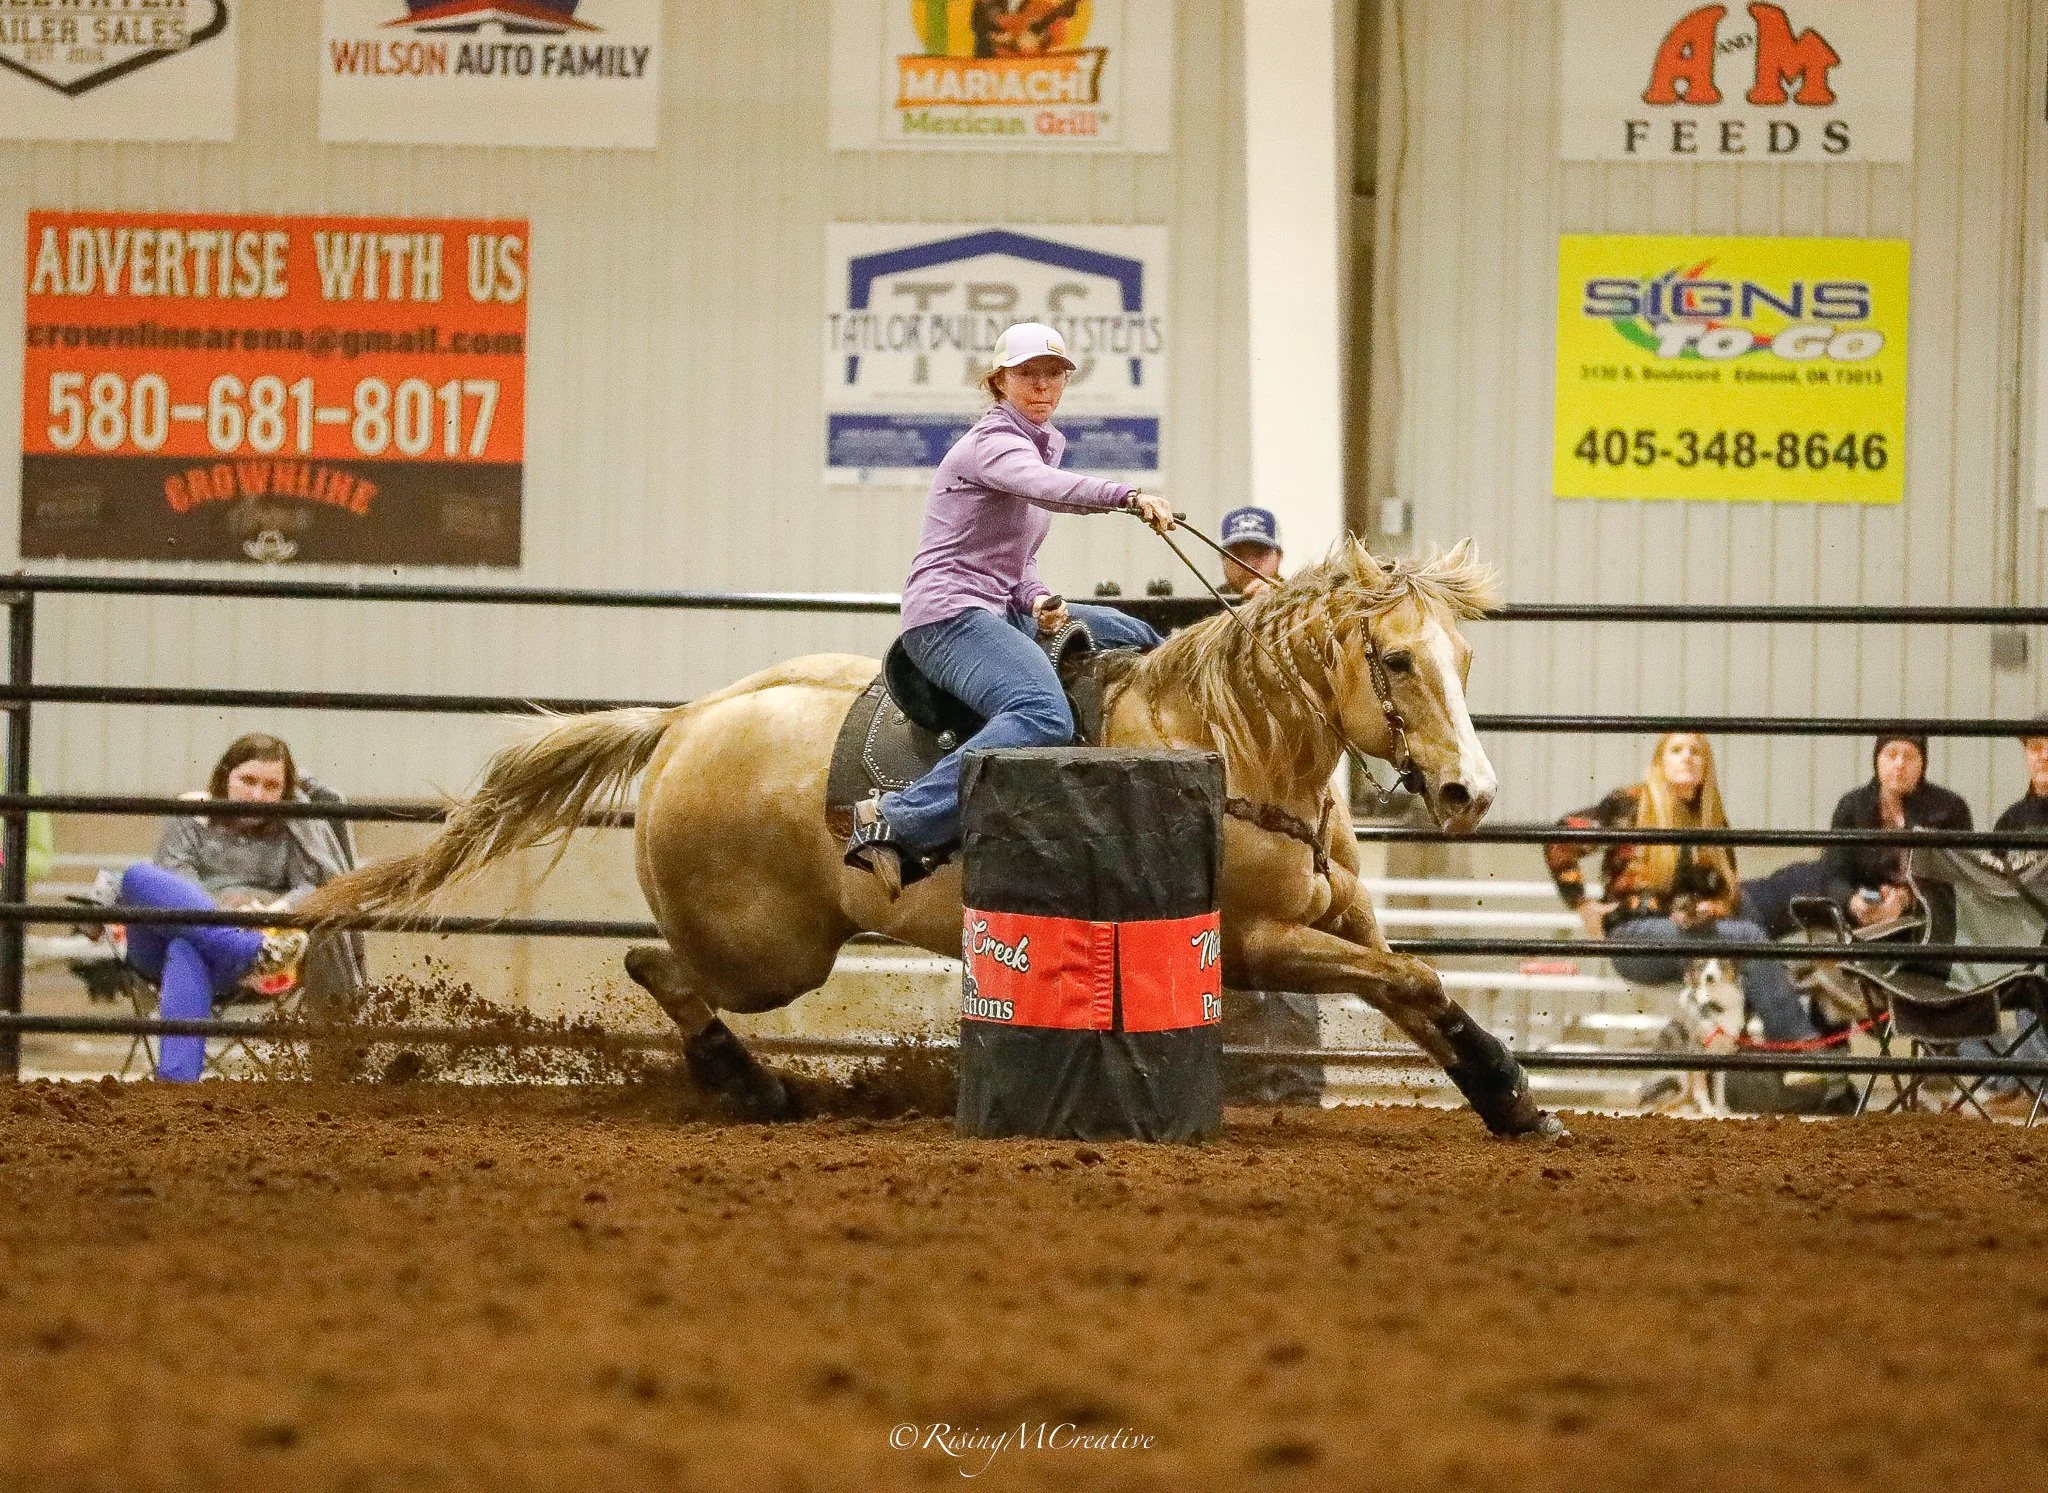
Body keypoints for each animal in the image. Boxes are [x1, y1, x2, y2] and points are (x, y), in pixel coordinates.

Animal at [302, 538, 1564, 1140]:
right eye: (1395, 659)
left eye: (1460, 656)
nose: (1468, 790)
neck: (1227, 737)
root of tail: (684, 720)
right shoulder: (1252, 942)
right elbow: (1409, 979)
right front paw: (1510, 1089)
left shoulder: (1339, 916)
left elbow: (1413, 983)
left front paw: (1509, 1096)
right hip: (765, 955)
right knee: (653, 962)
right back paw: (747, 1083)